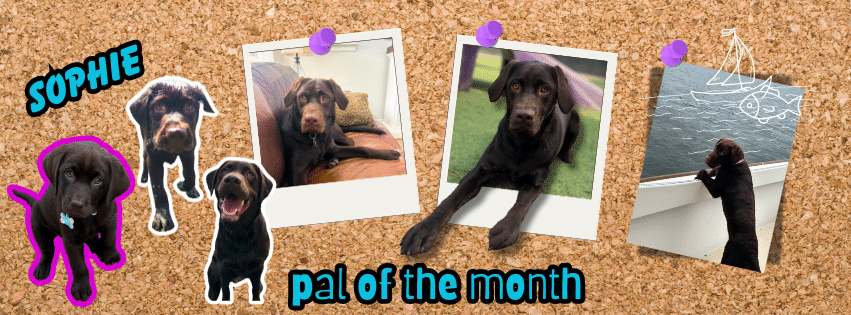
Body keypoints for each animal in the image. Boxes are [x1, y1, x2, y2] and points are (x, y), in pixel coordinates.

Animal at [6, 136, 134, 308]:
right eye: (69, 173)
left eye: (98, 181)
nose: (76, 204)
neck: (89, 217)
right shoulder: (71, 240)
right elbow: (78, 265)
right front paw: (81, 288)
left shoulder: (111, 219)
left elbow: (109, 239)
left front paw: (110, 256)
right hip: (37, 224)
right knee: (47, 250)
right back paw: (42, 268)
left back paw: (97, 248)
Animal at [128, 76, 220, 235]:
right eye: (159, 107)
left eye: (190, 106)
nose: (176, 133)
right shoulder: (154, 159)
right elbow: (159, 190)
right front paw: (162, 218)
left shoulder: (189, 152)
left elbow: (190, 174)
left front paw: (185, 186)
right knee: (143, 159)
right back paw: (144, 177)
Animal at [205, 158, 274, 304]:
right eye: (224, 170)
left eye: (250, 174)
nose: (231, 179)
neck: (239, 232)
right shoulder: (223, 267)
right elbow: (226, 291)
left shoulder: (258, 267)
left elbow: (254, 289)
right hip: (213, 271)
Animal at [402, 60, 584, 256]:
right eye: (515, 85)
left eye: (545, 89)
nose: (524, 115)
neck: (521, 144)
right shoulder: (481, 171)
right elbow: (450, 199)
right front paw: (424, 230)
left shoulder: (535, 183)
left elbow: (521, 205)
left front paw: (506, 229)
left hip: (576, 121)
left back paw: (567, 156)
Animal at [696, 139, 764, 274]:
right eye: (715, 147)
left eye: (722, 152)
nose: (706, 159)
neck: (733, 165)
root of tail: (752, 253)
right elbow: (716, 169)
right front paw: (712, 170)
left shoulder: (716, 189)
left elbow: (707, 175)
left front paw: (701, 172)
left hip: (729, 255)